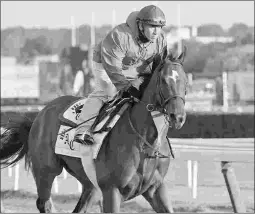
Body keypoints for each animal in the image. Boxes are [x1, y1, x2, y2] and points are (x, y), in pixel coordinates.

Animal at [0, 47, 187, 213]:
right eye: (164, 80)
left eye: (185, 80)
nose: (177, 117)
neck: (146, 143)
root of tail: (40, 115)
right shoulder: (112, 190)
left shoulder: (155, 189)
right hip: (46, 170)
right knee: (44, 204)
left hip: (91, 185)